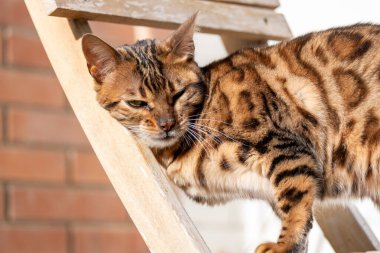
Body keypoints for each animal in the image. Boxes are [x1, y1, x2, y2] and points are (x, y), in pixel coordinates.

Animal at [81, 13, 378, 253]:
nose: (167, 124)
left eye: (178, 94)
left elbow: (294, 203)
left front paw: (283, 246)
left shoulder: (285, 147)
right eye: (137, 103)